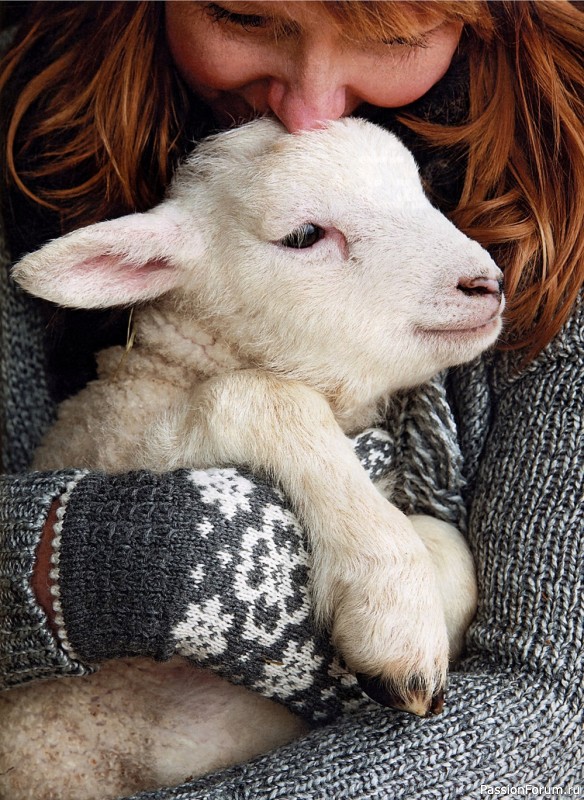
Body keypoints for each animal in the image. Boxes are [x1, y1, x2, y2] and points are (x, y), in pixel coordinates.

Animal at [1, 119, 502, 800]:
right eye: (304, 236)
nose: (485, 284)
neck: (179, 364)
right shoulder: (133, 447)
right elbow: (261, 394)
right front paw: (391, 604)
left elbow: (450, 549)